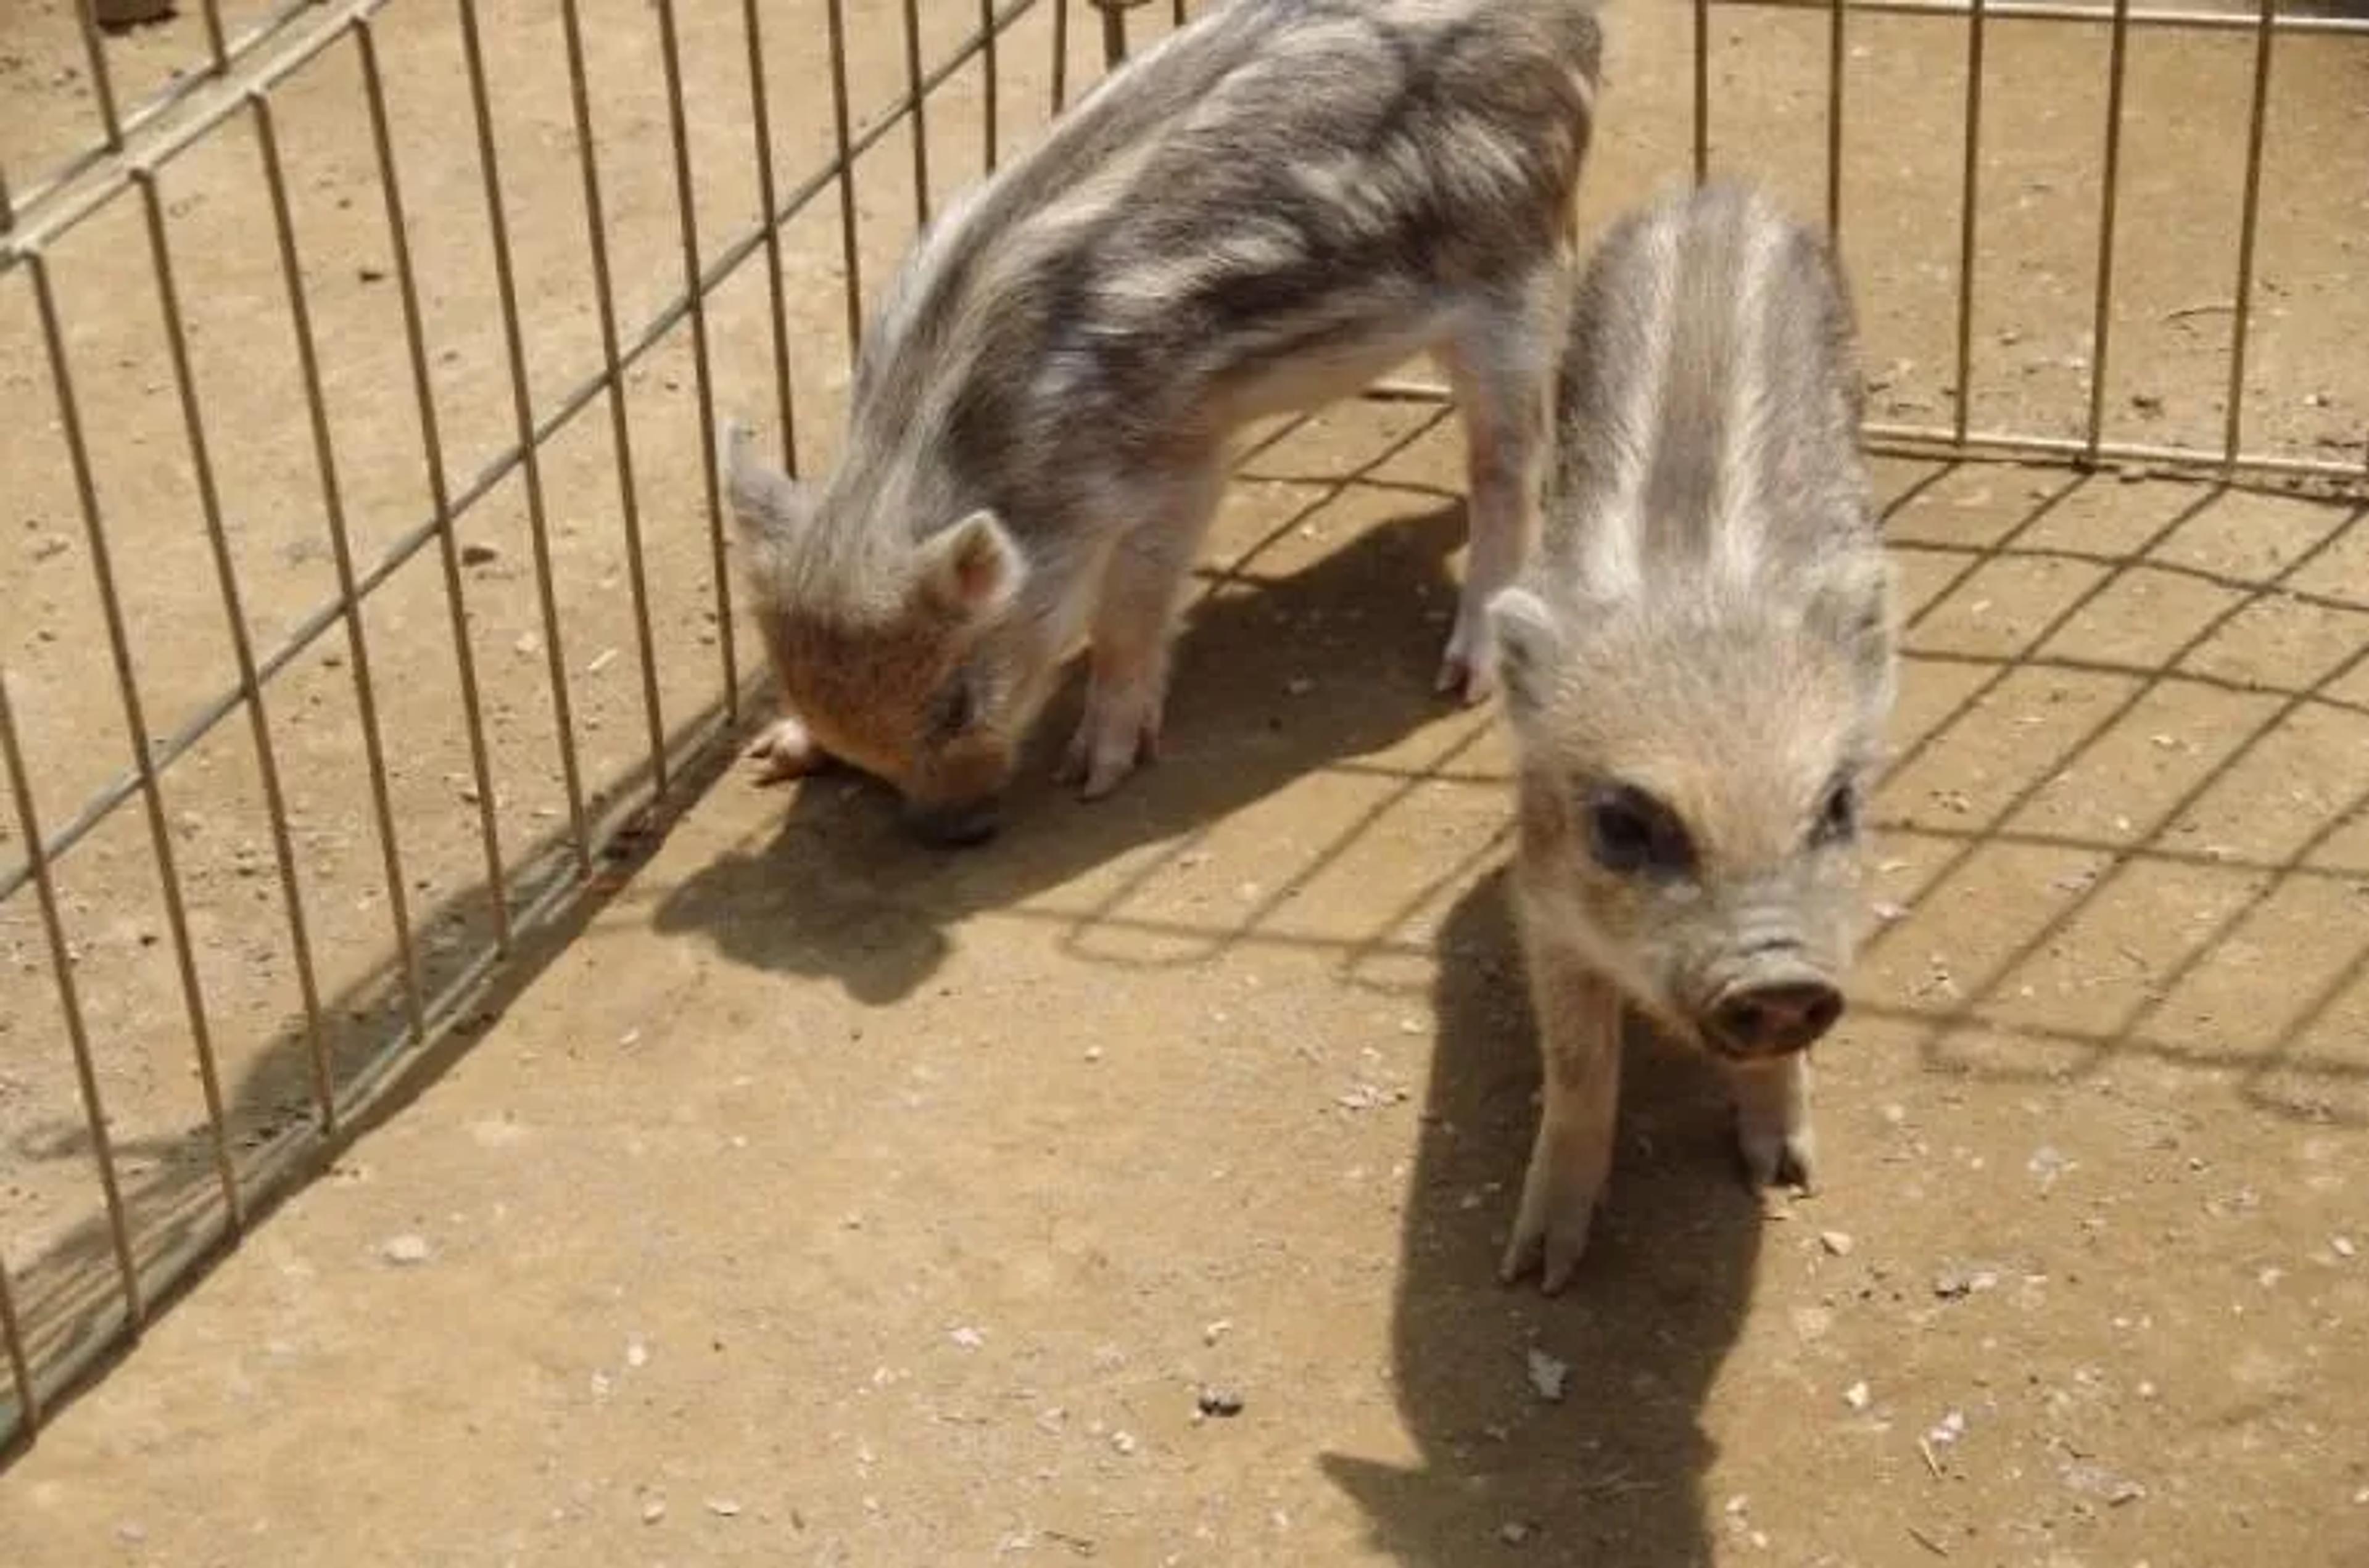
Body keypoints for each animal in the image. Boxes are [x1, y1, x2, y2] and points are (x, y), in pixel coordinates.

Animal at [722, 0, 1602, 846]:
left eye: (958, 703)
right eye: (790, 681)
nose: (954, 834)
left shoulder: (1178, 454)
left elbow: (1132, 608)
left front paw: (1095, 772)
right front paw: (773, 752)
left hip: (1516, 283)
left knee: (1508, 468)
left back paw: (1466, 675)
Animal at [1486, 181, 1897, 1293]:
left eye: (1837, 804)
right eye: (1623, 824)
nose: (1779, 979)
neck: (1695, 592)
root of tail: (1722, 194)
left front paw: (1788, 1174)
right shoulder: (1542, 906)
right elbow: (1578, 1072)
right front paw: (1539, 1267)